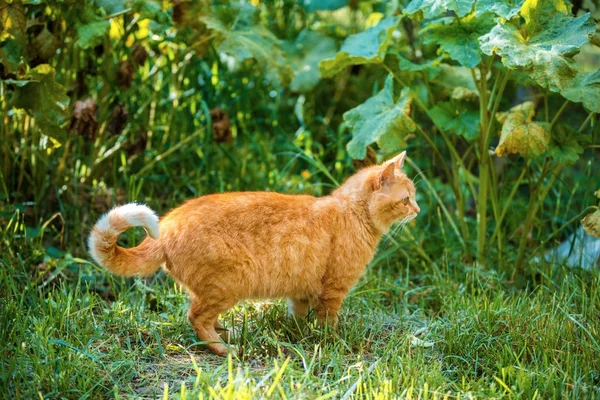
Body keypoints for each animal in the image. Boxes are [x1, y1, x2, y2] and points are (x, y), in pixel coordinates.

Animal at [89, 152, 420, 354]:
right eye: (406, 200)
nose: (417, 211)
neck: (351, 212)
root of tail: (168, 227)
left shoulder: (301, 291)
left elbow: (298, 318)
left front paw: (297, 335)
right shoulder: (333, 291)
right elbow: (329, 324)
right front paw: (332, 342)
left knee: (205, 316)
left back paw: (229, 333)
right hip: (230, 283)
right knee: (195, 317)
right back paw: (224, 348)